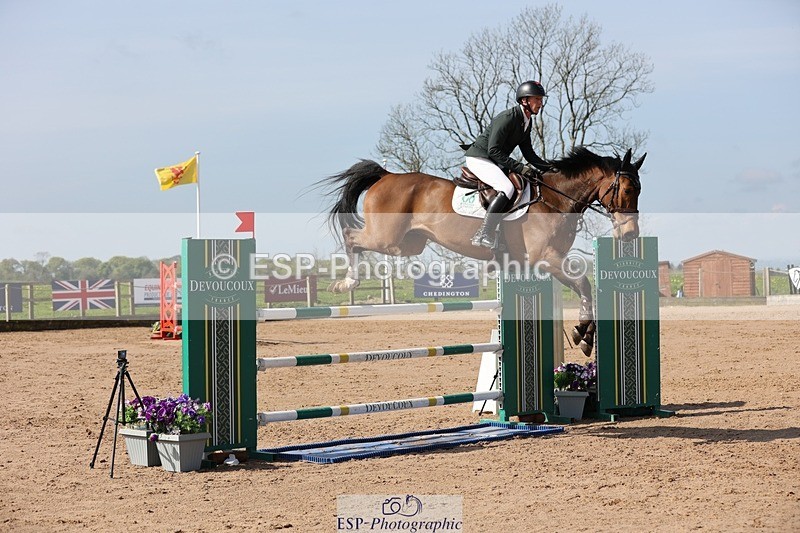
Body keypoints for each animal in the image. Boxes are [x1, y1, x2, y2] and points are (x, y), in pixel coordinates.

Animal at [317, 147, 646, 356]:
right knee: (352, 237)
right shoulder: (546, 259)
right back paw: (345, 282)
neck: (555, 200)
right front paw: (582, 333)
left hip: (408, 243)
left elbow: (582, 287)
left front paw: (585, 335)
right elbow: (583, 282)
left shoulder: (542, 262)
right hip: (386, 237)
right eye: (628, 190)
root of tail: (387, 175)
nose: (630, 234)